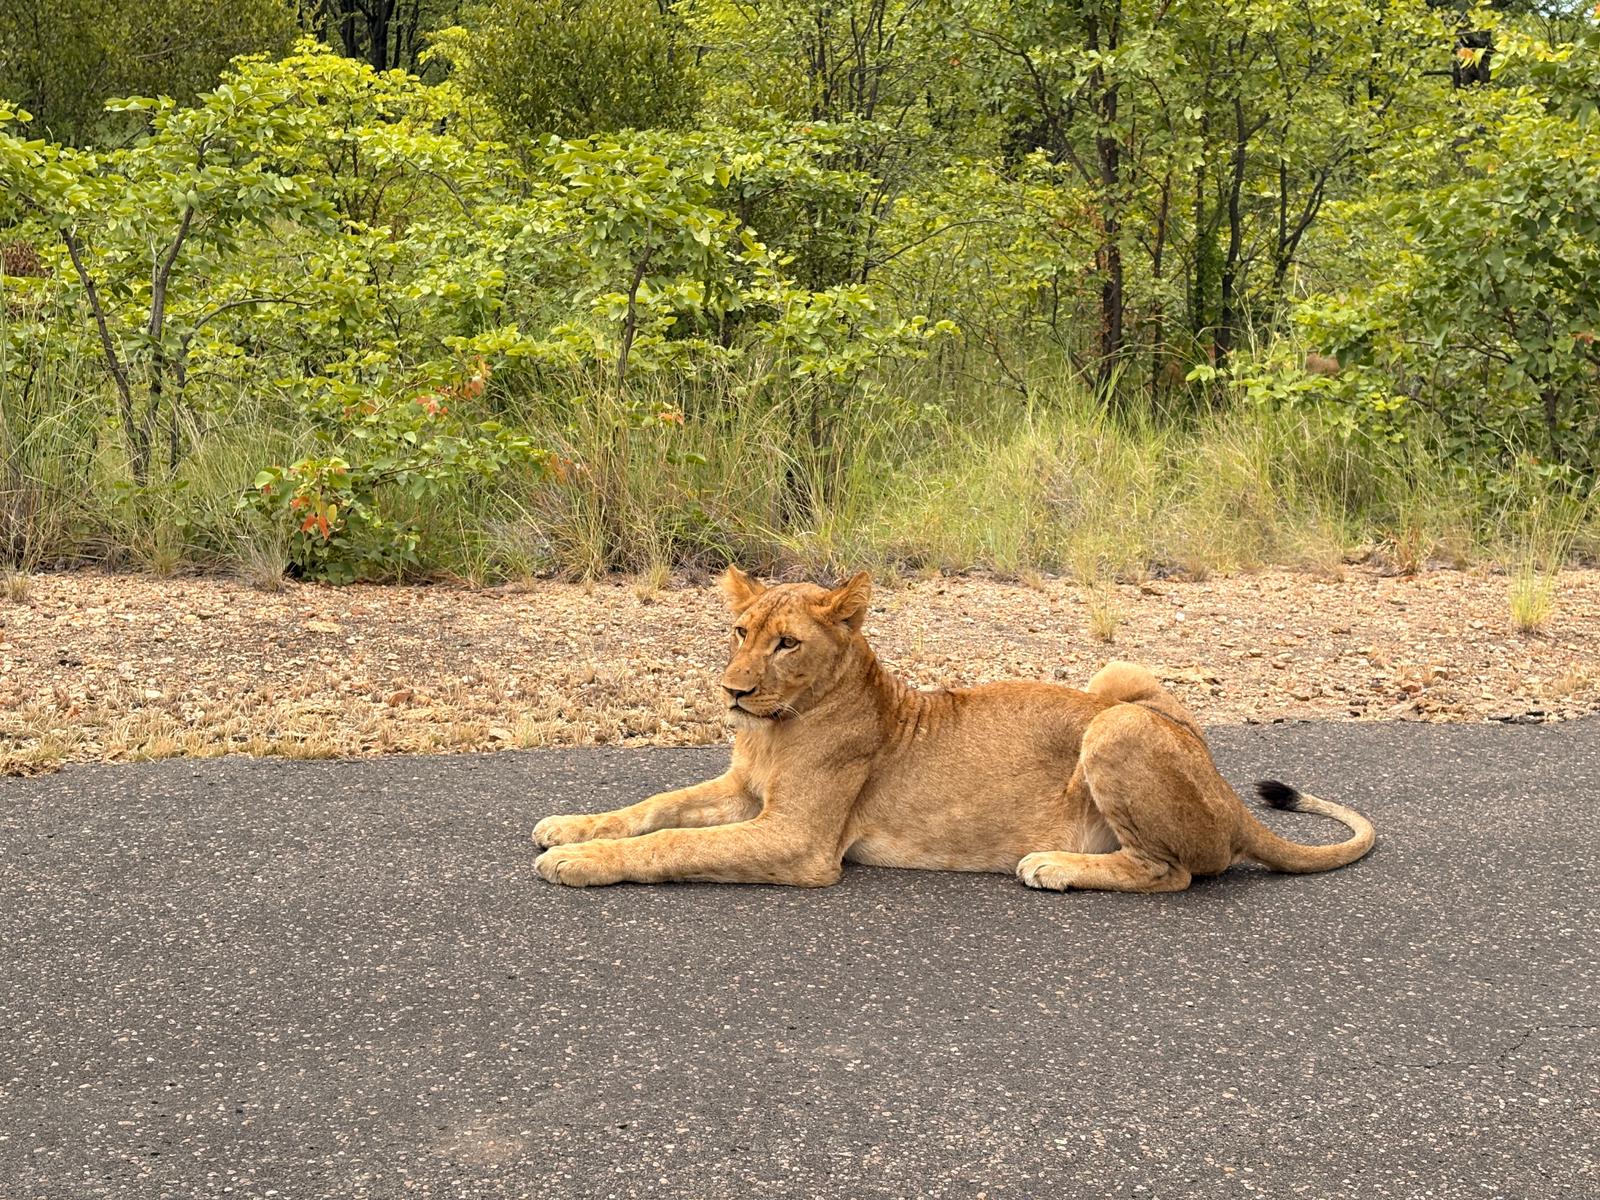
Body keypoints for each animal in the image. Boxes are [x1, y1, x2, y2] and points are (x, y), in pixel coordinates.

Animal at [532, 568, 1375, 893]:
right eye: (739, 632)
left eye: (788, 644)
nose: (733, 692)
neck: (774, 728)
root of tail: (1229, 794)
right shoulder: (744, 791)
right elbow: (655, 806)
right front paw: (567, 826)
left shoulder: (801, 841)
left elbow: (673, 842)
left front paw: (576, 861)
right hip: (1117, 675)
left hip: (1116, 728)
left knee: (1174, 871)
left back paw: (1054, 866)